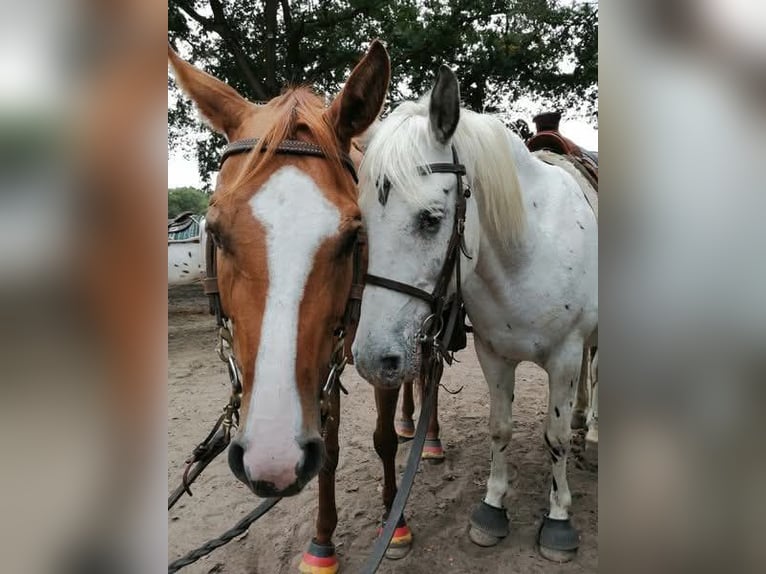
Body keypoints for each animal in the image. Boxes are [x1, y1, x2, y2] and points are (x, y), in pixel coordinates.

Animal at [168, 41, 410, 572]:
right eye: (216, 231)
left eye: (354, 236)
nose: (271, 461)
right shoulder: (325, 360)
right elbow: (330, 450)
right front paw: (322, 541)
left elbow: (381, 436)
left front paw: (395, 519)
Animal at [352, 65, 598, 562]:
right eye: (363, 220)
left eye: (430, 219)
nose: (372, 360)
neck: (527, 254)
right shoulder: (493, 353)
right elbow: (499, 429)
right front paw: (493, 507)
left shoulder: (563, 355)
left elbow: (555, 436)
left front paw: (558, 519)